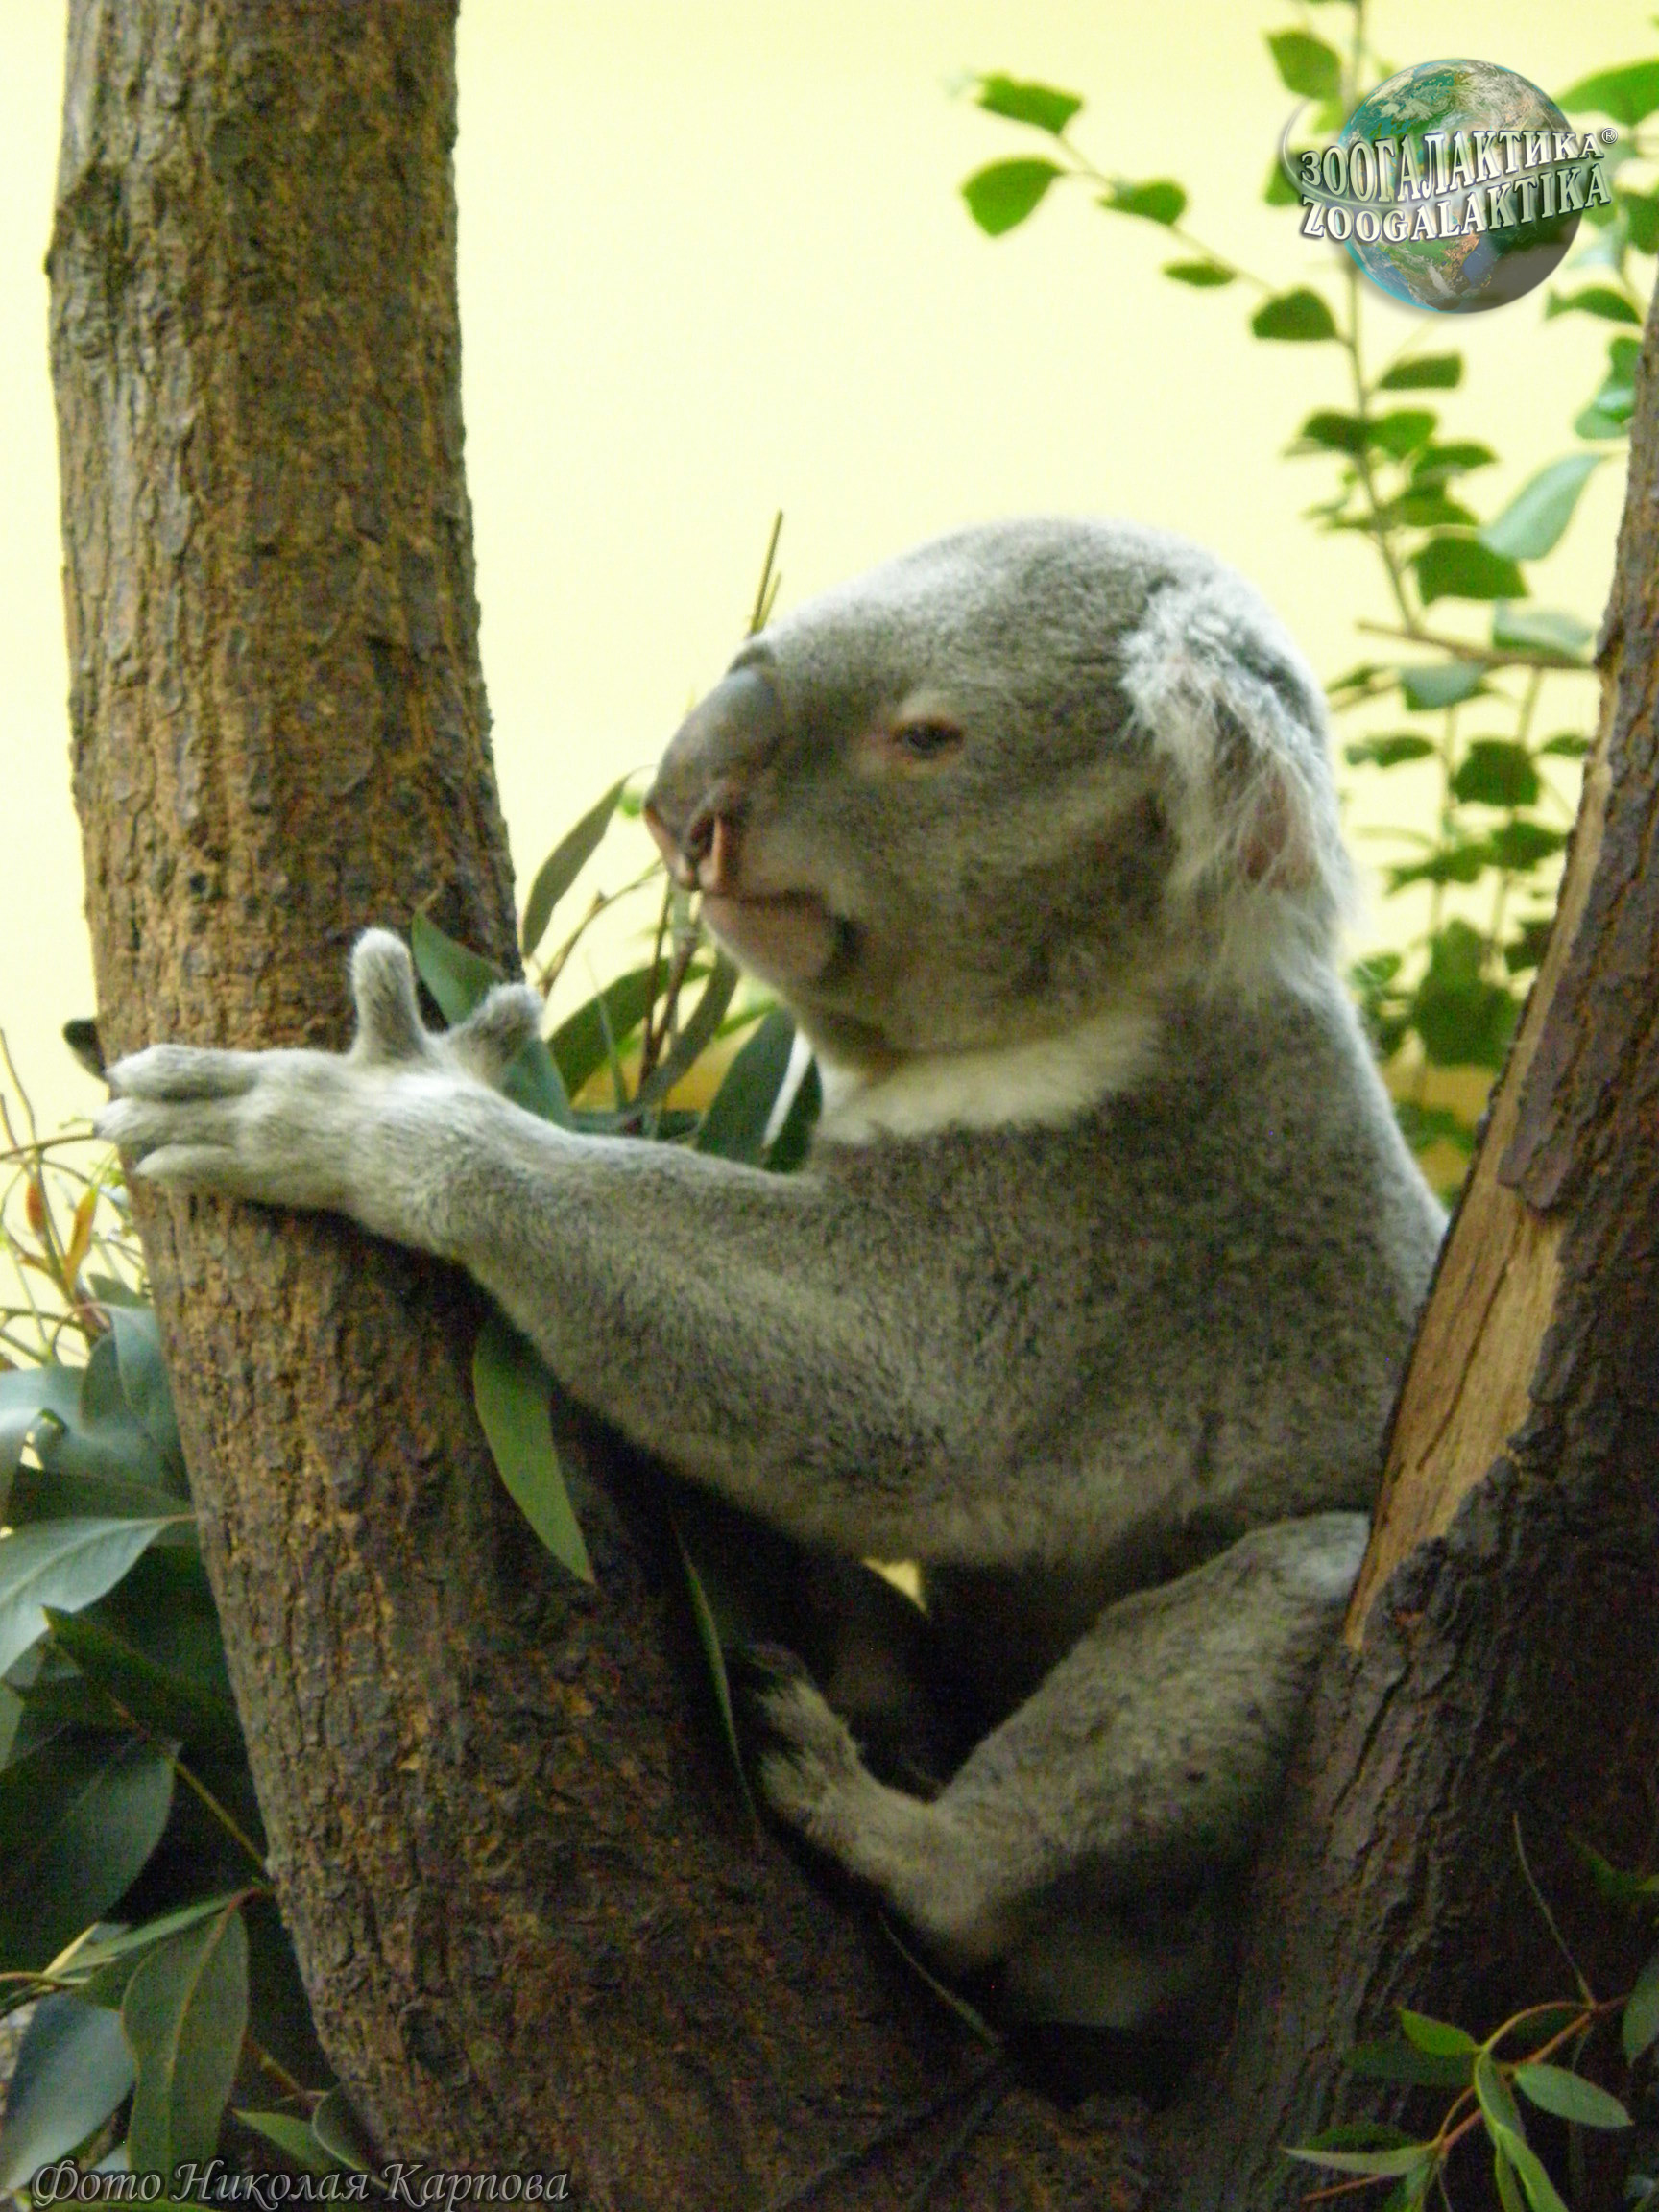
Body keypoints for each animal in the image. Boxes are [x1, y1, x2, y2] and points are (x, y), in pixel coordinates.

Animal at [97, 518, 1445, 2033]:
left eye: (925, 737)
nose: (686, 805)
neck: (1080, 1016)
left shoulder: (1118, 1235)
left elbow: (902, 1402)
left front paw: (344, 1113)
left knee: (1256, 1622)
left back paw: (877, 1814)